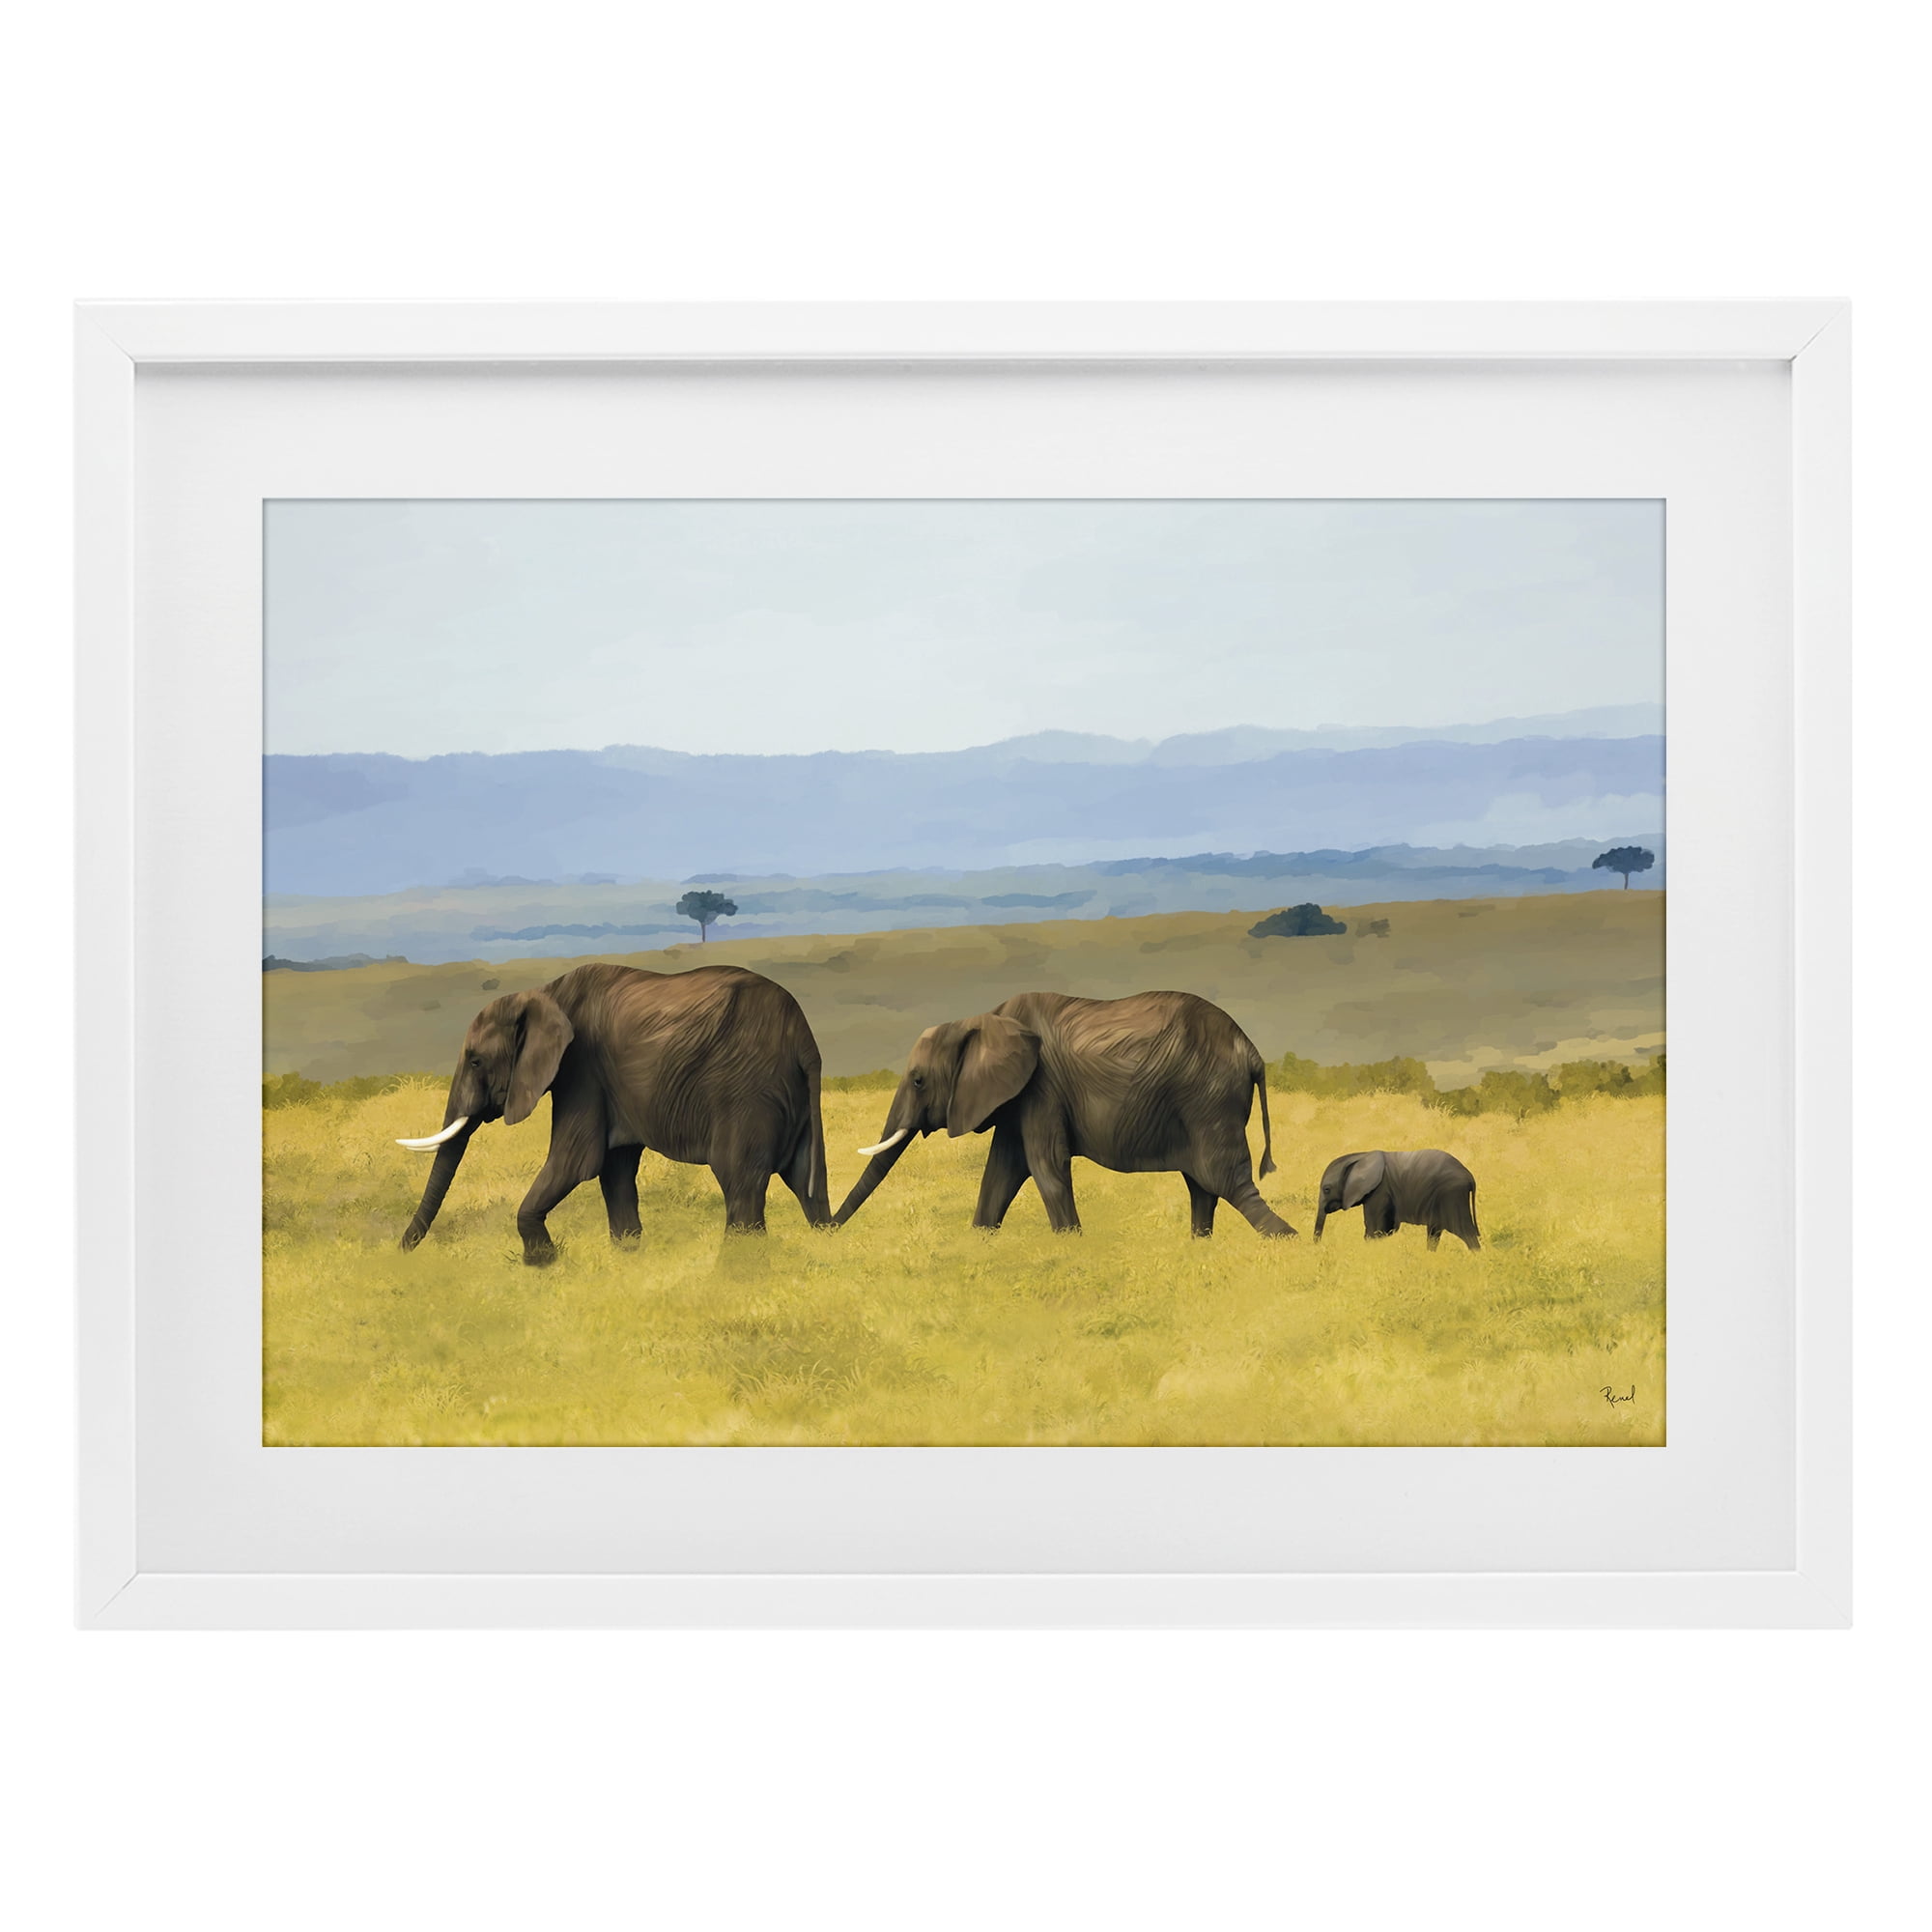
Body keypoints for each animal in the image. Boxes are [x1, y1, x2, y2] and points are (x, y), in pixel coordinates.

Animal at [396, 962, 830, 1264]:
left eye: (475, 1061)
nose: (399, 1253)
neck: (545, 993)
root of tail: (804, 1038)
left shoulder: (581, 1070)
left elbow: (575, 1161)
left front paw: (542, 1265)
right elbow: (614, 1169)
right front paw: (627, 1260)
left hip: (745, 1092)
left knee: (740, 1182)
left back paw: (736, 1272)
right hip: (791, 1098)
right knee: (806, 1183)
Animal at [832, 989, 1295, 1238]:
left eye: (918, 1081)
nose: (826, 1228)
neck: (983, 1018)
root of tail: (1252, 1052)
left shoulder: (1042, 1089)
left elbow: (1045, 1165)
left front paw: (1072, 1242)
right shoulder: (1017, 1098)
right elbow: (1000, 1172)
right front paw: (979, 1240)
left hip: (1209, 1099)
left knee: (1226, 1181)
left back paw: (1287, 1242)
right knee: (1203, 1186)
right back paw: (1199, 1246)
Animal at [1312, 1149, 1480, 1251]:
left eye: (1326, 1189)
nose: (1319, 1247)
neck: (1361, 1156)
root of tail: (1470, 1176)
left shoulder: (1380, 1190)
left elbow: (1375, 1230)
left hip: (1451, 1193)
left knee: (1464, 1231)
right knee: (1434, 1231)